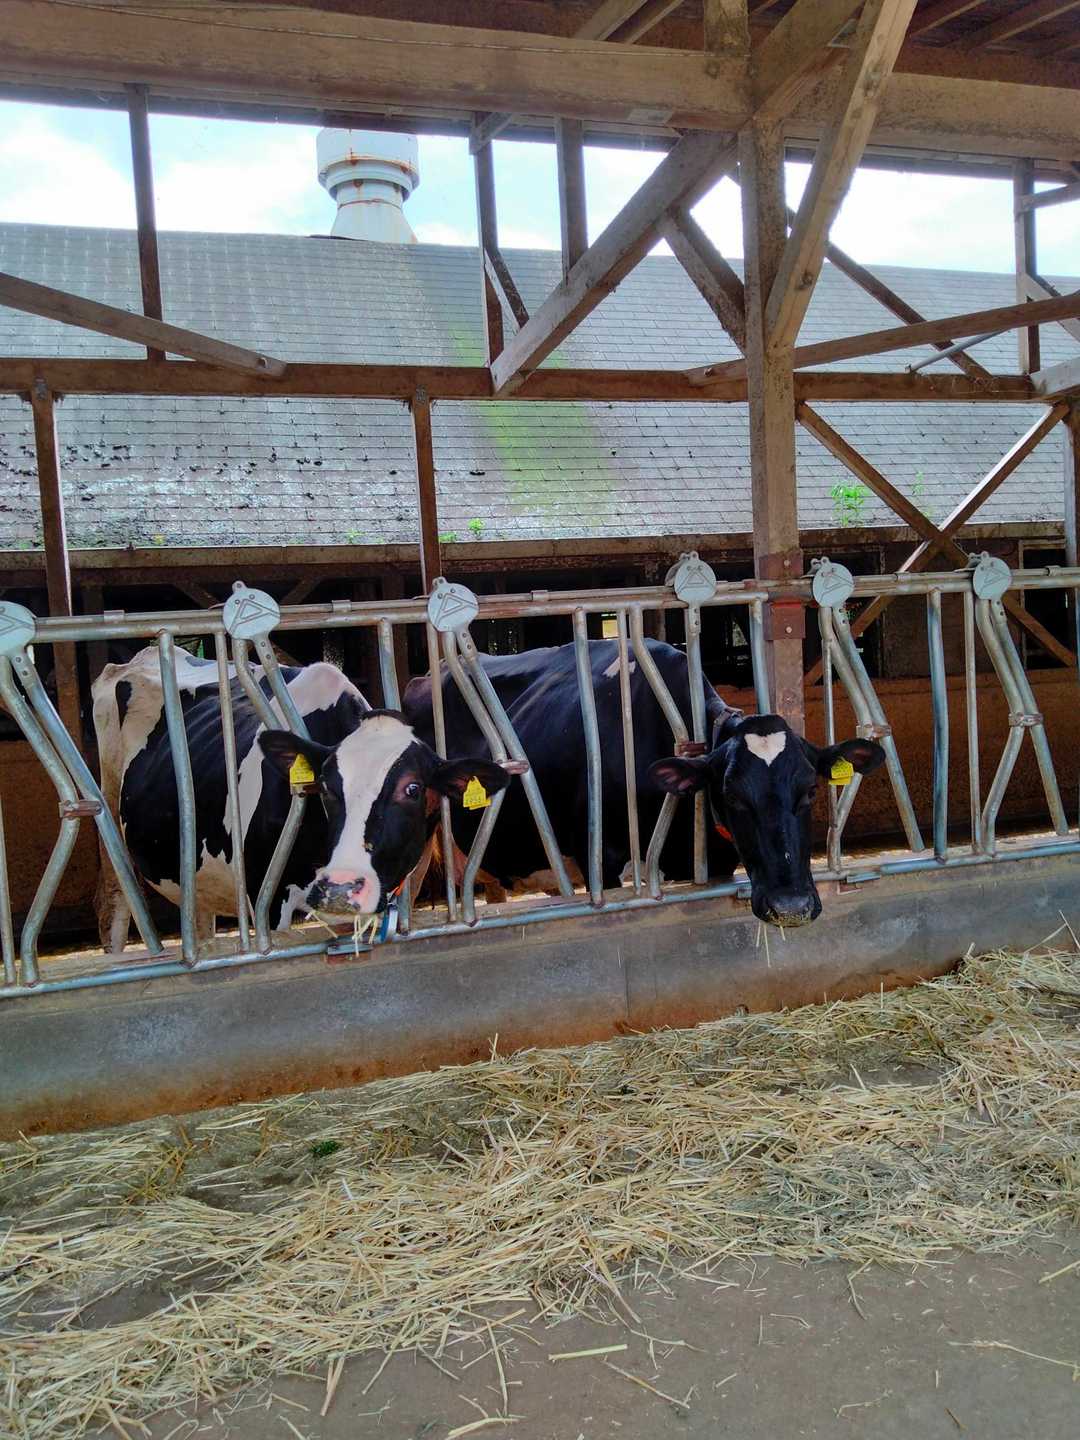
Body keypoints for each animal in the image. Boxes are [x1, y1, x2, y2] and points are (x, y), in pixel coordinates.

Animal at [92, 648, 509, 953]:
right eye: (324, 787)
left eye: (413, 789)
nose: (341, 887)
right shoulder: (267, 898)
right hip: (110, 814)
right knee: (113, 907)